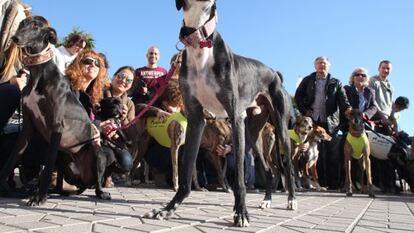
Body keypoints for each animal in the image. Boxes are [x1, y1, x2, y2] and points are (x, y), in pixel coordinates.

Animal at [0, 17, 110, 205]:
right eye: (22, 24)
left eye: (36, 26)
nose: (15, 38)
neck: (38, 74)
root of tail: (83, 179)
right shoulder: (28, 127)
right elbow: (11, 159)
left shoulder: (56, 126)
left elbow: (46, 167)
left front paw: (39, 197)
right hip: (62, 157)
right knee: (59, 181)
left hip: (96, 151)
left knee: (97, 181)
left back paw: (101, 192)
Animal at [146, 0, 294, 226]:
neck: (200, 43)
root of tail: (274, 72)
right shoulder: (196, 119)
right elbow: (186, 174)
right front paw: (169, 209)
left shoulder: (235, 117)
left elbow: (239, 179)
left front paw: (241, 213)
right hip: (253, 133)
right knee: (270, 170)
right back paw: (267, 200)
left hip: (280, 128)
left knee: (288, 167)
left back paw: (292, 200)